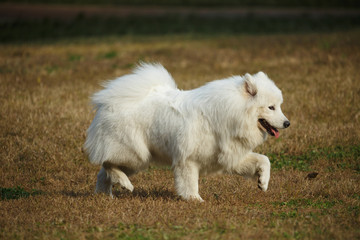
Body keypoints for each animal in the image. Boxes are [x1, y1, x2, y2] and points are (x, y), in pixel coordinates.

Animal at [84, 62, 290, 202]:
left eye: (279, 106)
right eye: (271, 107)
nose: (287, 123)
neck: (228, 113)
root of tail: (109, 101)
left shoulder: (230, 155)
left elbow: (264, 160)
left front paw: (263, 182)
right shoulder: (188, 160)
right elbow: (189, 183)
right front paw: (195, 200)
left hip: (135, 159)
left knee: (103, 173)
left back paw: (105, 195)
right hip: (135, 155)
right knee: (107, 164)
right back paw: (124, 183)